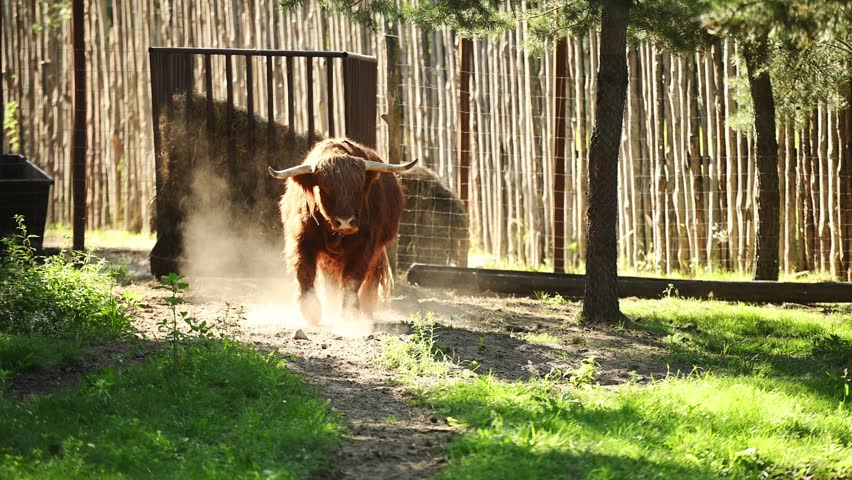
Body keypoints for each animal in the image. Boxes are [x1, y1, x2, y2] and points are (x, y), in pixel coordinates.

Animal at [268, 138, 417, 325]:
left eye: (358, 188)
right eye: (325, 189)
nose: (345, 221)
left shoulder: (364, 246)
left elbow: (353, 278)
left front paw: (350, 313)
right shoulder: (301, 240)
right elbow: (305, 271)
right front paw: (311, 311)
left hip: (377, 249)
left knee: (372, 276)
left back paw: (367, 309)